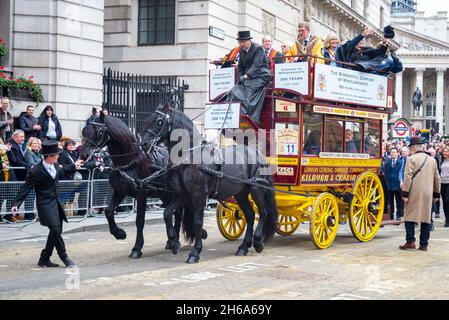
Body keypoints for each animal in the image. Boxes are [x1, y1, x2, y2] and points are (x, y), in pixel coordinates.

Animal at [80, 111, 200, 258]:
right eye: (85, 130)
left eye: (100, 131)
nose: (84, 154)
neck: (129, 161)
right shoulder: (120, 191)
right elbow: (108, 211)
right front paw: (119, 233)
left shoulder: (141, 195)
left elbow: (139, 221)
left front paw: (137, 248)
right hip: (164, 194)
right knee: (177, 212)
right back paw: (172, 241)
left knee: (176, 212)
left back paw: (174, 240)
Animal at [140, 104, 276, 264]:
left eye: (160, 121)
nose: (144, 144)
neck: (189, 157)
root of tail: (257, 153)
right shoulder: (181, 194)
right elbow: (167, 214)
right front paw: (173, 243)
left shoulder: (198, 195)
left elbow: (198, 222)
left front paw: (195, 253)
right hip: (241, 193)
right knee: (249, 215)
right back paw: (243, 247)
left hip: (256, 189)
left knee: (263, 212)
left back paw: (258, 242)